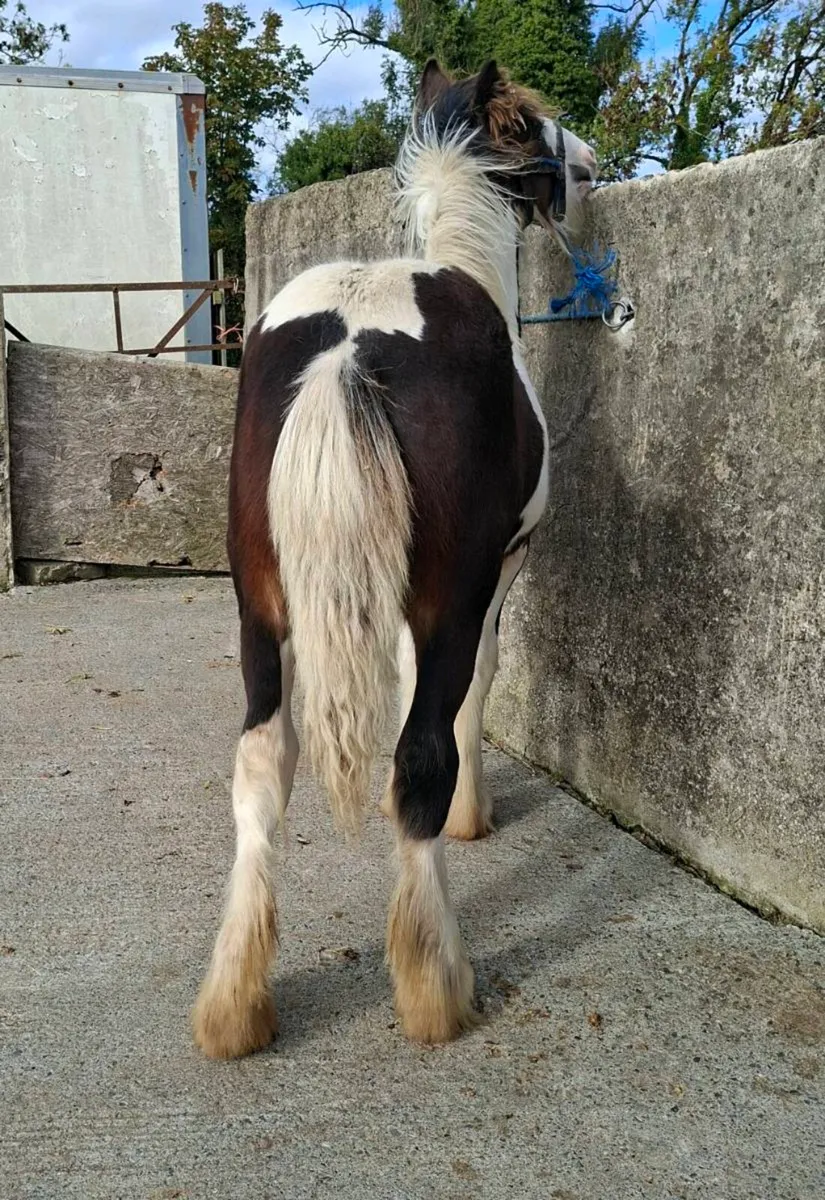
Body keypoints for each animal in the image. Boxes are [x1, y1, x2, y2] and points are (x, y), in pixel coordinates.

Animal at [193, 58, 597, 1059]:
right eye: (535, 127)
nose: (589, 163)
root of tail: (348, 347)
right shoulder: (494, 577)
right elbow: (475, 690)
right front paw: (472, 818)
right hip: (448, 593)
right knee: (417, 758)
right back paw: (435, 986)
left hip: (259, 610)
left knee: (260, 768)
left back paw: (234, 1003)